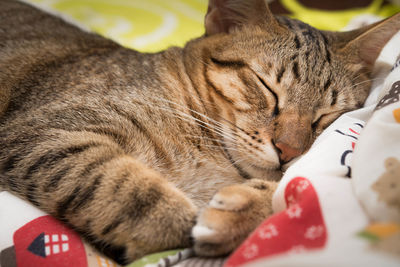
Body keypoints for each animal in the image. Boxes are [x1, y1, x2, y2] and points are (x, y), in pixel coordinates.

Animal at [0, 0, 400, 264]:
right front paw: (179, 220)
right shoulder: (47, 132)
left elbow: (287, 191)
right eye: (267, 87)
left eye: (328, 113)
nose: (288, 150)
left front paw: (244, 209)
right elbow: (124, 186)